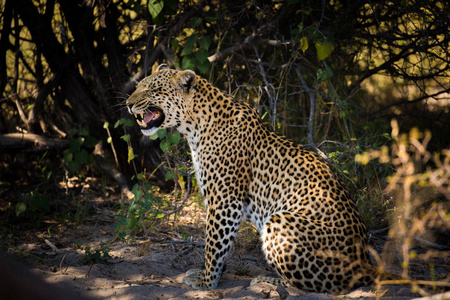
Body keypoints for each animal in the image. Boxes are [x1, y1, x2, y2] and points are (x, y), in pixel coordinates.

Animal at [125, 65, 376, 292]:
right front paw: (210, 275)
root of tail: (365, 263)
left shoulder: (224, 201)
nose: (128, 103)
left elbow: (213, 245)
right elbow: (222, 244)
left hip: (280, 221)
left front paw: (207, 281)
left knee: (317, 284)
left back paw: (268, 281)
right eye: (138, 87)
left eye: (152, 89)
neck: (194, 126)